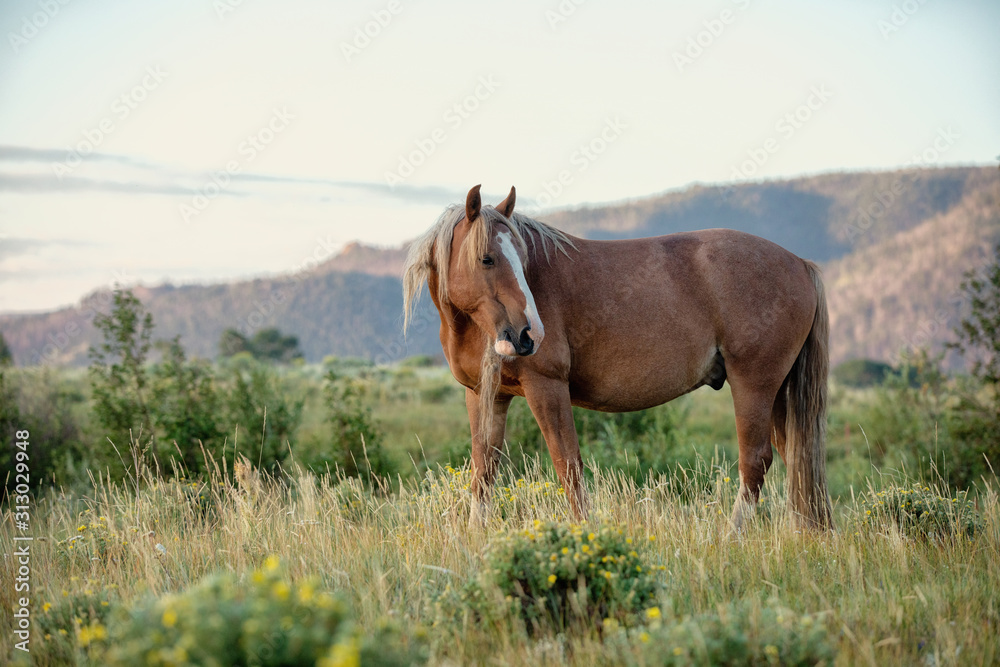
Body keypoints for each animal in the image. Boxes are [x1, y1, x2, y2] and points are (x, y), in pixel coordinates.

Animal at [403, 184, 833, 531]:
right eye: (488, 259)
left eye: (521, 260)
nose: (529, 335)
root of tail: (801, 264)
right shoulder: (485, 395)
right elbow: (483, 471)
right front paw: (476, 538)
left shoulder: (547, 389)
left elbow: (568, 468)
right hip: (778, 393)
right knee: (797, 458)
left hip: (754, 385)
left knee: (755, 463)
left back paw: (732, 537)